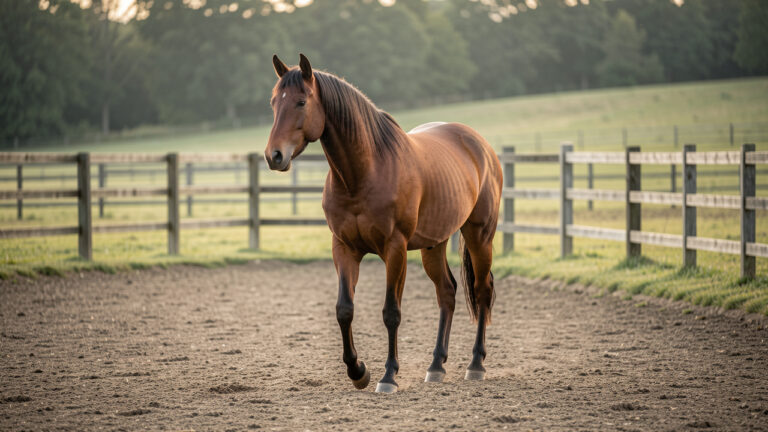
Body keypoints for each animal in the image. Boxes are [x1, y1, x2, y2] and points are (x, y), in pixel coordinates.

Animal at [265, 54, 502, 393]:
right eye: (274, 102)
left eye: (300, 102)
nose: (274, 156)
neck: (364, 173)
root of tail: (480, 145)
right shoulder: (344, 248)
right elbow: (344, 310)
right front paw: (358, 371)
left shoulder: (395, 249)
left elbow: (391, 312)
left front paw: (389, 375)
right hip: (434, 244)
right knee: (447, 292)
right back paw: (436, 366)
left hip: (479, 235)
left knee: (482, 290)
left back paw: (476, 365)